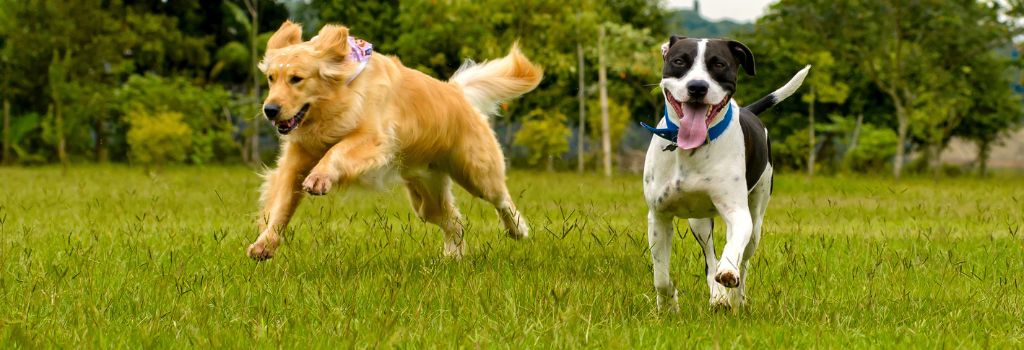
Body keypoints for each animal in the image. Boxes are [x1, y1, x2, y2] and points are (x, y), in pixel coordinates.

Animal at [244, 19, 544, 259]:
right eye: (271, 78)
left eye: (296, 79)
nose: (270, 110)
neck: (339, 96)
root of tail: (457, 91)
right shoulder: (296, 159)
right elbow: (281, 204)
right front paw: (265, 244)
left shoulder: (373, 138)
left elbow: (338, 151)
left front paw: (320, 177)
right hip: (425, 195)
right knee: (453, 221)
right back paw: (453, 256)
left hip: (476, 171)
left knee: (501, 199)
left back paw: (518, 229)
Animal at [647, 34, 806, 309]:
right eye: (679, 61)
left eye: (719, 64)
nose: (697, 87)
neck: (691, 149)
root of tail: (748, 111)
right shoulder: (658, 216)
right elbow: (661, 277)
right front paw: (668, 305)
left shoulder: (737, 213)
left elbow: (732, 253)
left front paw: (728, 274)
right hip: (699, 222)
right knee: (710, 259)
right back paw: (718, 296)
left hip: (756, 221)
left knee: (743, 259)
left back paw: (735, 297)